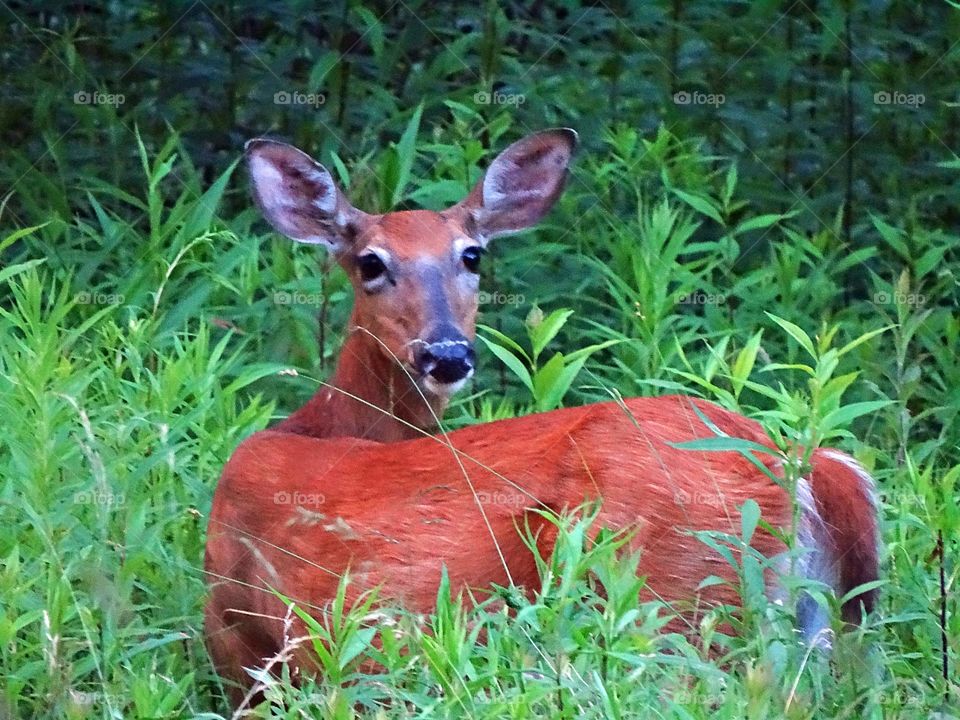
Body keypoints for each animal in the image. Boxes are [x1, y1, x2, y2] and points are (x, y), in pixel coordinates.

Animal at [204, 129, 880, 704]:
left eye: (472, 256)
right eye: (370, 262)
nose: (447, 353)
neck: (322, 423)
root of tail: (798, 466)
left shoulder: (242, 644)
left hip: (666, 600)